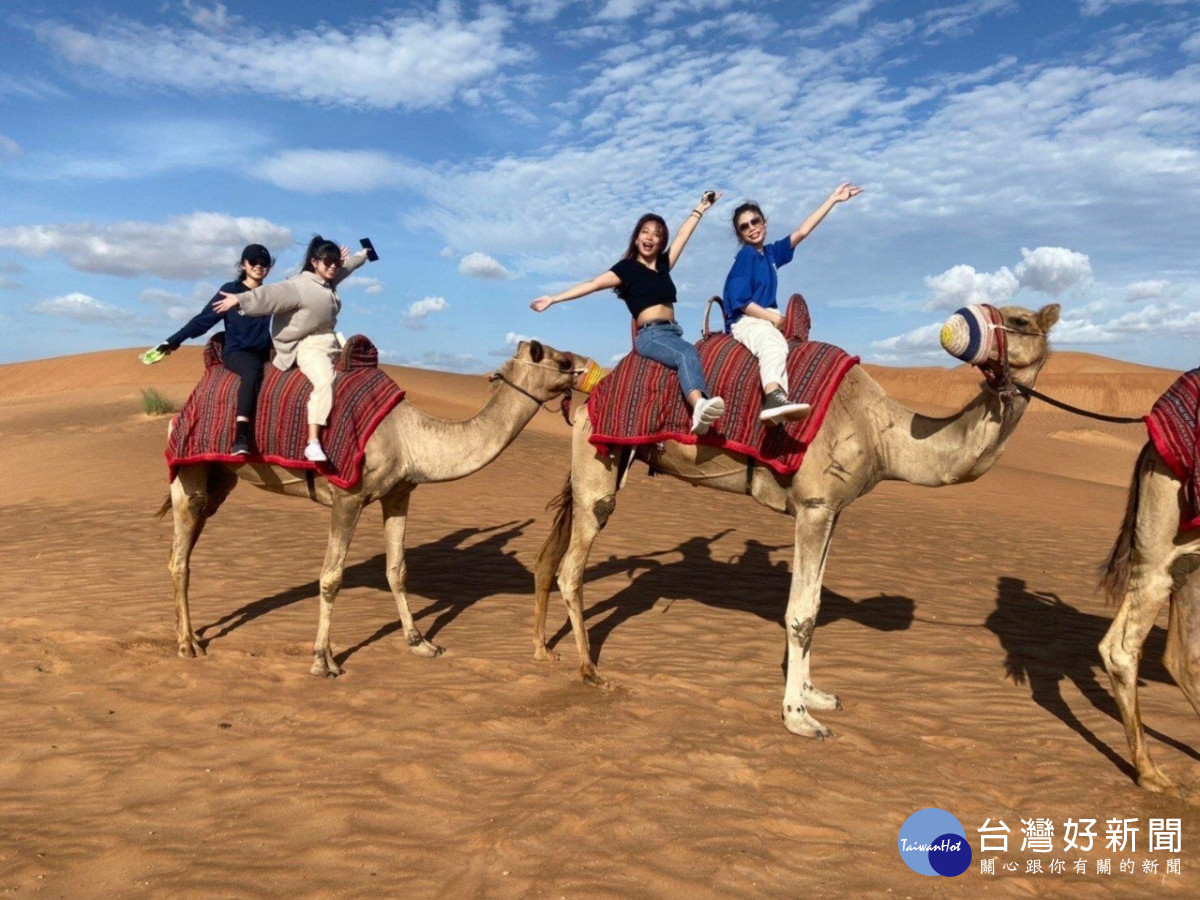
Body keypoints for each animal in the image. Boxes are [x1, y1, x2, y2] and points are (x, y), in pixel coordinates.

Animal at [164, 340, 580, 676]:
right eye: (561, 360)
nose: (585, 367)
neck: (409, 436)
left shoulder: (399, 494)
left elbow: (397, 570)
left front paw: (420, 642)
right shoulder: (348, 497)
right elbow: (331, 578)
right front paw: (323, 660)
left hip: (222, 478)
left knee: (184, 546)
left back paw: (189, 635)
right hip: (189, 467)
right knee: (180, 556)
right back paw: (187, 645)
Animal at [535, 307, 1060, 734]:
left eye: (1020, 321)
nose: (954, 328)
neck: (881, 433)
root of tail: (592, 394)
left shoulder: (833, 511)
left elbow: (815, 606)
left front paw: (816, 695)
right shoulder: (813, 506)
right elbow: (800, 614)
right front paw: (798, 718)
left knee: (551, 558)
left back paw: (543, 649)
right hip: (598, 464)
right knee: (572, 567)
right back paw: (590, 671)